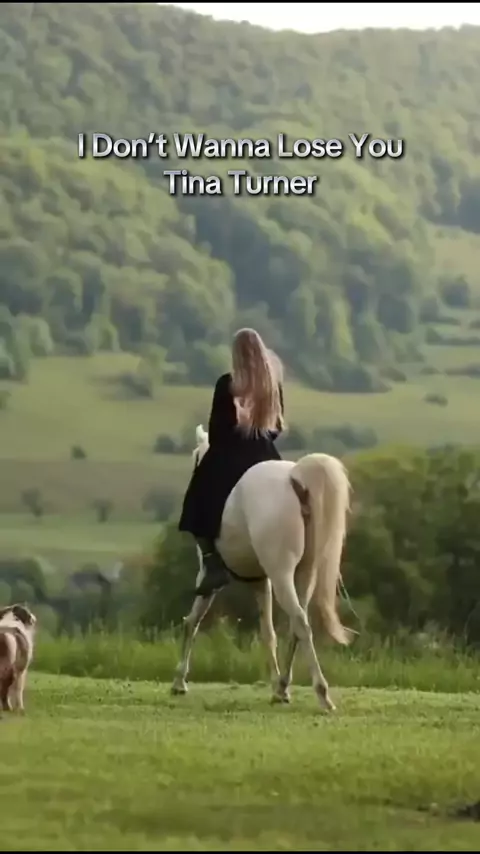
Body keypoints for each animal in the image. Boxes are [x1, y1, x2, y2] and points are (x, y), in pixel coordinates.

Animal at [171, 425, 355, 710]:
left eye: (195, 459)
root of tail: (295, 479)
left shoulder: (208, 579)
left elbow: (192, 621)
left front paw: (180, 682)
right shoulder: (260, 581)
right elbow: (268, 632)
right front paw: (275, 683)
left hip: (282, 574)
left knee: (300, 622)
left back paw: (322, 694)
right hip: (303, 574)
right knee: (295, 626)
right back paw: (282, 688)